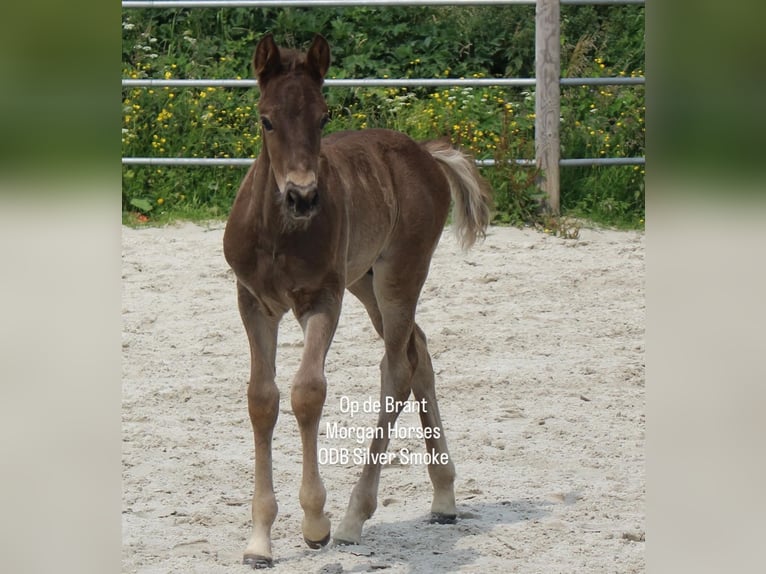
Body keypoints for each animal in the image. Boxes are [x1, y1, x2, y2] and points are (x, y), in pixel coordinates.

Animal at [223, 33, 492, 568]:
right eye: (266, 119)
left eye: (323, 117)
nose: (303, 197)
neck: (280, 233)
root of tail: (425, 153)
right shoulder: (254, 303)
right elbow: (262, 398)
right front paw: (260, 540)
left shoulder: (322, 301)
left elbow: (308, 392)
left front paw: (315, 523)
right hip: (365, 282)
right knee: (419, 352)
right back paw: (444, 498)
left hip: (398, 277)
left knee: (398, 370)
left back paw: (353, 517)